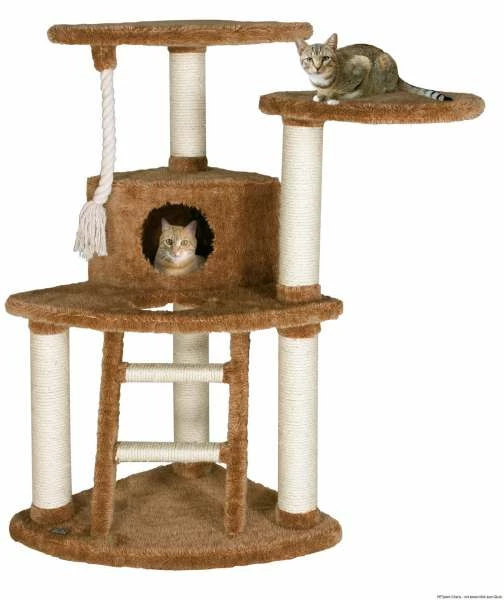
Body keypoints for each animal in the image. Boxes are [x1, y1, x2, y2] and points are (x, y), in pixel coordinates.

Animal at [296, 34, 452, 104]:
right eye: (309, 59)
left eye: (325, 58)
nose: (317, 67)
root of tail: (398, 76)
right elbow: (321, 92)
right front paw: (320, 95)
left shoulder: (363, 65)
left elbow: (342, 92)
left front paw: (332, 98)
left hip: (382, 62)